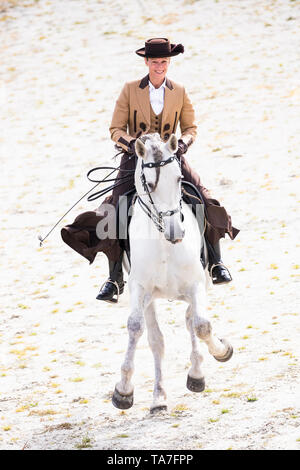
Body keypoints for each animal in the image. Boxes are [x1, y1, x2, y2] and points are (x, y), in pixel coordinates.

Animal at [112, 133, 232, 412]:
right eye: (150, 184)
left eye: (178, 178)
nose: (176, 232)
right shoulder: (139, 289)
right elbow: (136, 328)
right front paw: (123, 391)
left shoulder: (196, 284)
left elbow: (202, 325)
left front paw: (220, 352)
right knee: (157, 340)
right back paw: (159, 397)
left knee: (190, 320)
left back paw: (197, 372)